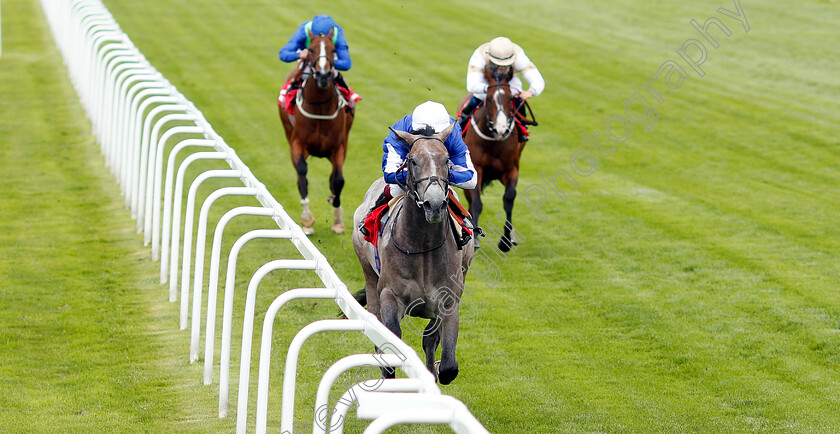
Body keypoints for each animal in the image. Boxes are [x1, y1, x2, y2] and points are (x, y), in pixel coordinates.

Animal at [352, 124, 476, 384]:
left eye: (447, 160)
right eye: (412, 160)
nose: (435, 204)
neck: (423, 246)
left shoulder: (448, 302)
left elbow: (447, 365)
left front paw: (434, 373)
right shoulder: (390, 296)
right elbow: (390, 349)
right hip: (369, 274)